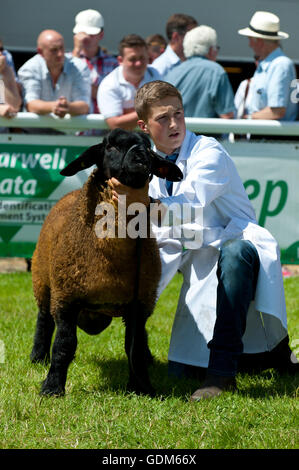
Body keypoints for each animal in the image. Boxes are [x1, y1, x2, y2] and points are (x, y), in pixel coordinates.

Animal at [29, 127, 183, 396]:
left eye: (149, 146)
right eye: (111, 146)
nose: (141, 155)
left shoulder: (139, 304)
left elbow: (133, 346)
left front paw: (142, 386)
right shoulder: (66, 298)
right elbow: (64, 345)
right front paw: (52, 387)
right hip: (43, 280)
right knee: (44, 320)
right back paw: (38, 357)